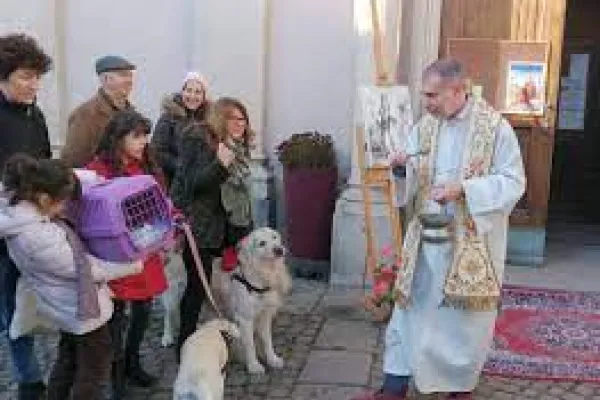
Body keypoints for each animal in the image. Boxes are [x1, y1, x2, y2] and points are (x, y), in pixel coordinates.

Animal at [213, 228, 292, 376]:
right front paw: (254, 366)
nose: (279, 250)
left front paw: (272, 359)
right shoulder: (245, 318)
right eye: (261, 243)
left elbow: (267, 340)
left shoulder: (265, 315)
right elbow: (250, 344)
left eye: (274, 237)